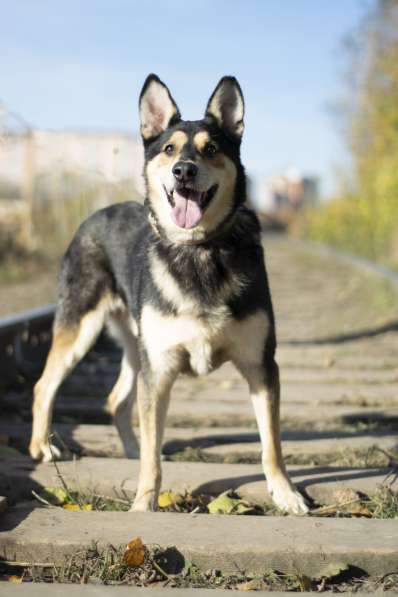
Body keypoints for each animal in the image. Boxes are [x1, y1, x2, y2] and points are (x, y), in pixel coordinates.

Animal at [29, 73, 310, 512]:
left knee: (117, 400)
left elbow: (271, 444)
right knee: (45, 385)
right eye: (169, 149)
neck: (198, 250)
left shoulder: (261, 365)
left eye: (211, 149)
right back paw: (42, 448)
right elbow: (153, 451)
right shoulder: (159, 369)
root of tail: (96, 212)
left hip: (135, 345)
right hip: (84, 329)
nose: (183, 171)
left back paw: (127, 449)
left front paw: (285, 493)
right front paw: (145, 502)